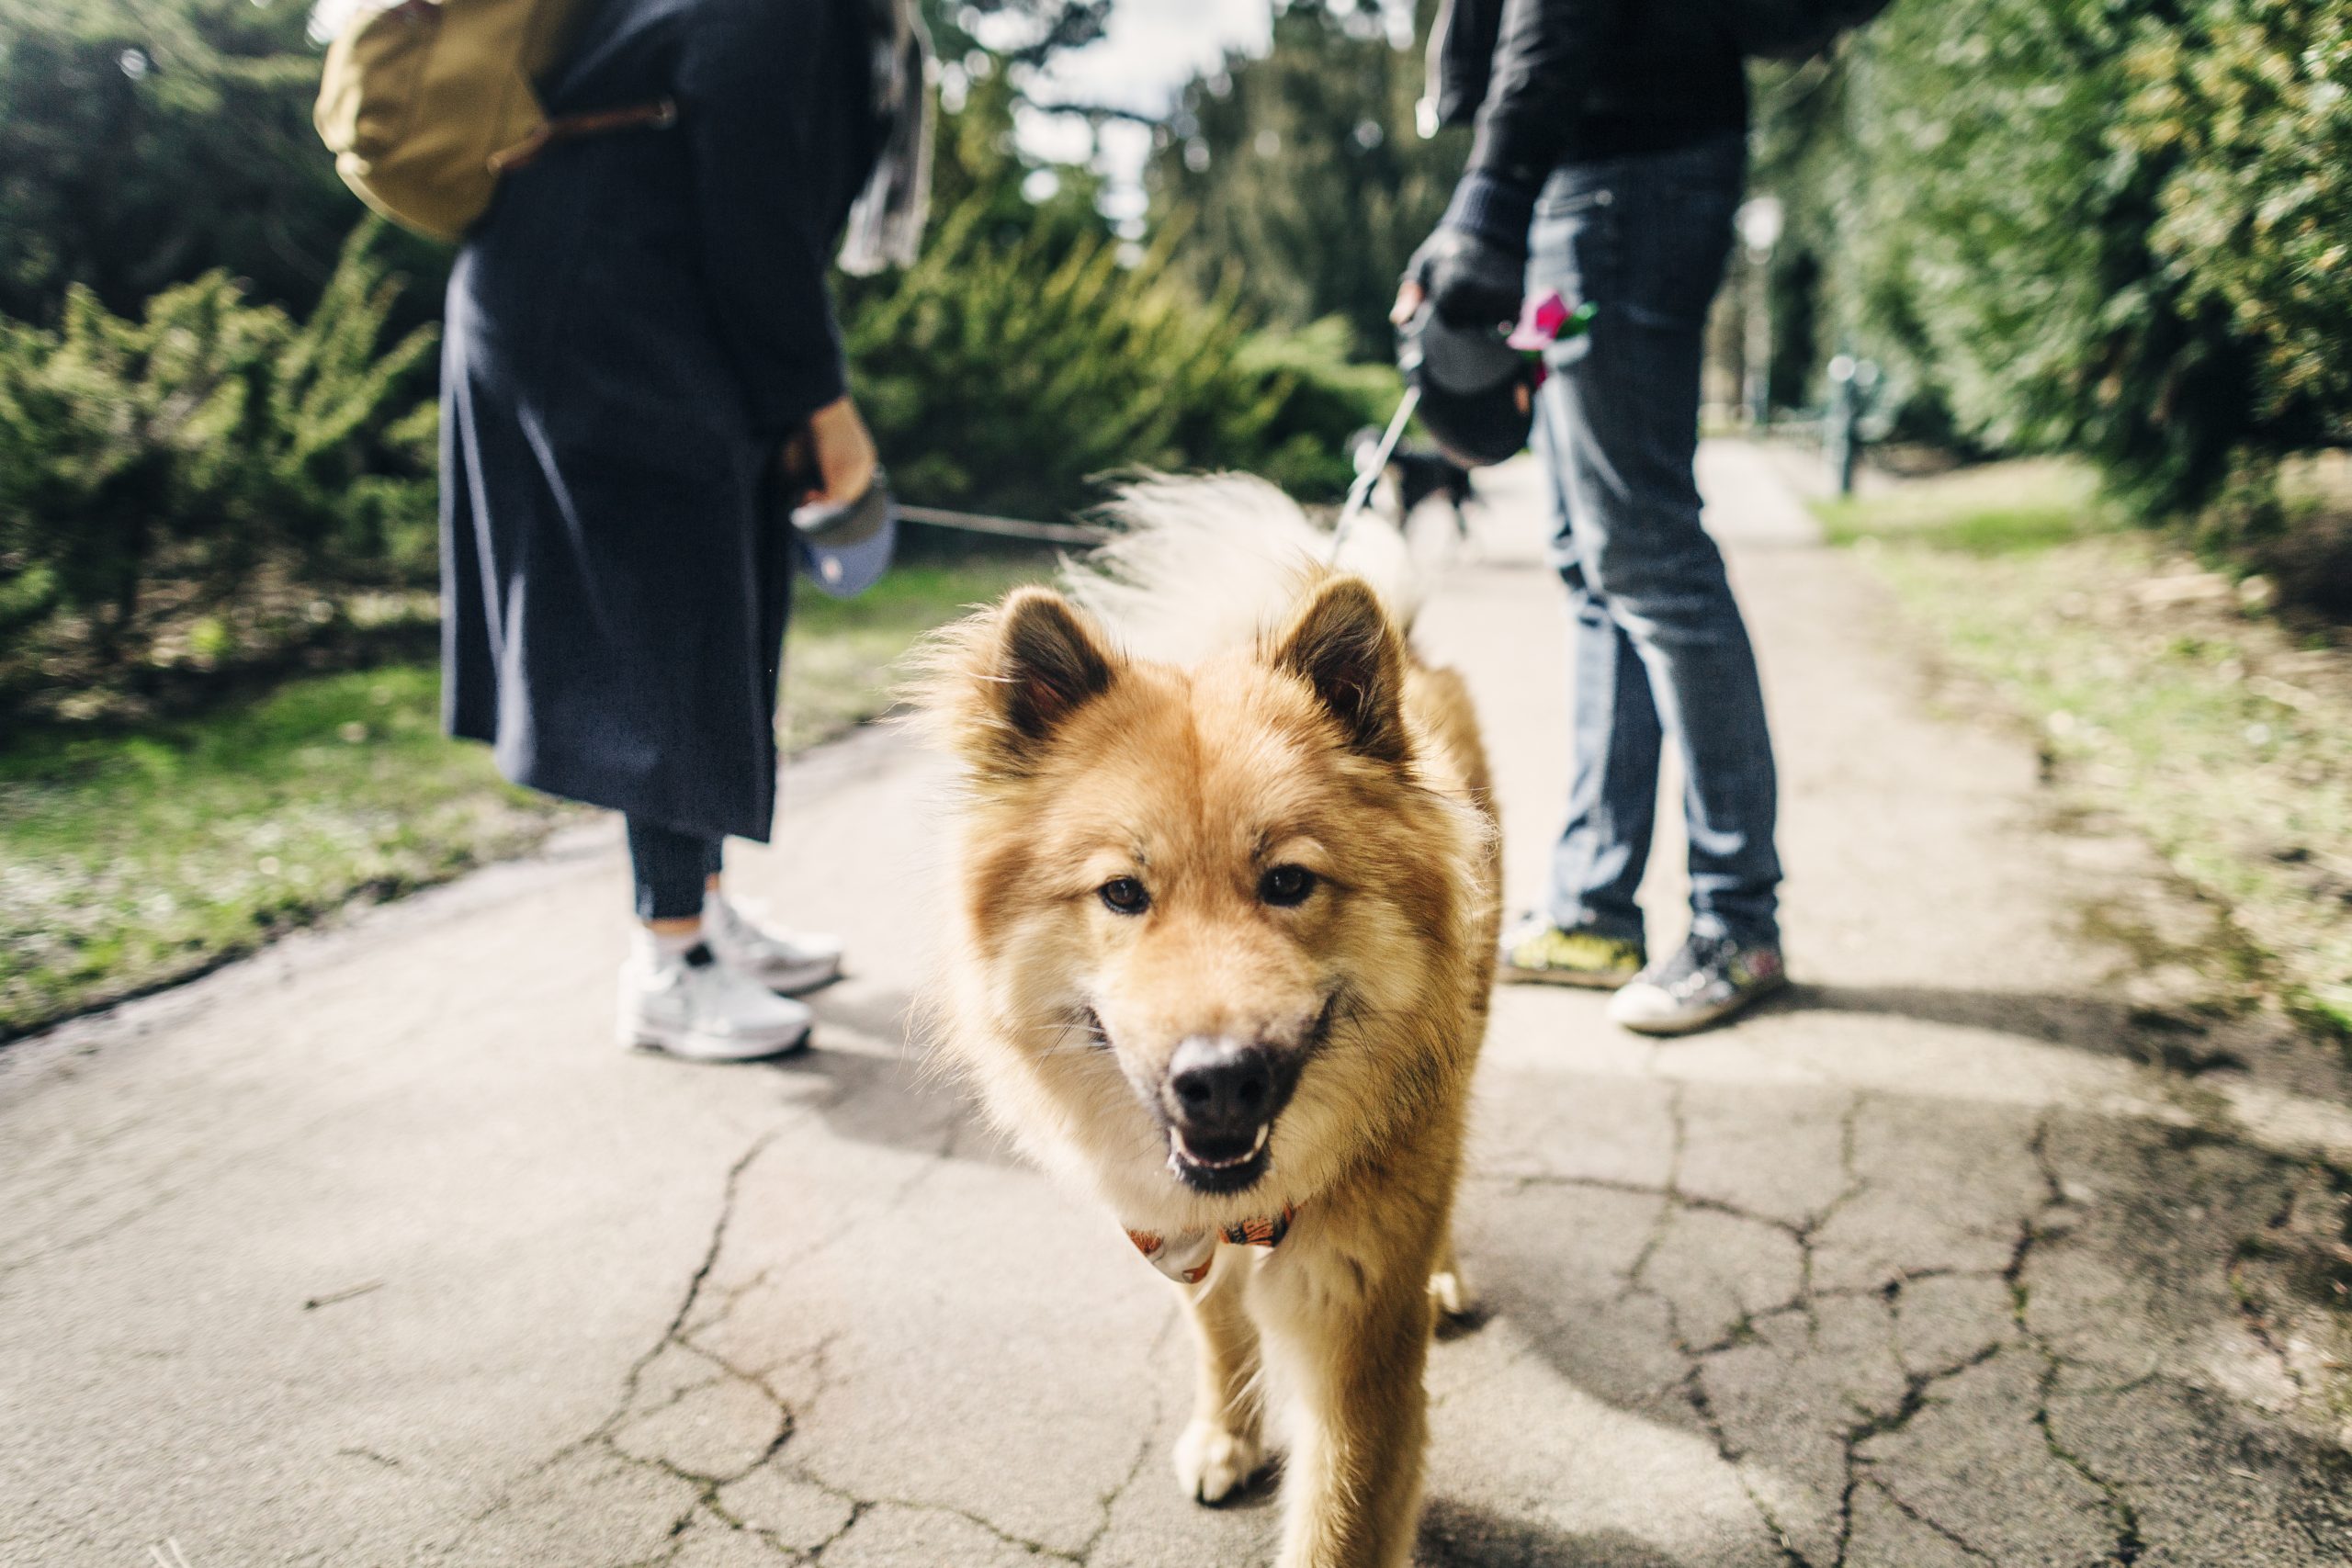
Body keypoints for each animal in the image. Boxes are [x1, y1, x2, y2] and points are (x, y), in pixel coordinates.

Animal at [908, 479, 1496, 1568]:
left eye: (1289, 882)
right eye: (1122, 892)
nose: (1220, 1077)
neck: (1254, 1210)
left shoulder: (1361, 1356)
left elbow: (1339, 1520)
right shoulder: (1177, 1236)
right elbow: (1220, 1333)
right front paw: (1228, 1435)